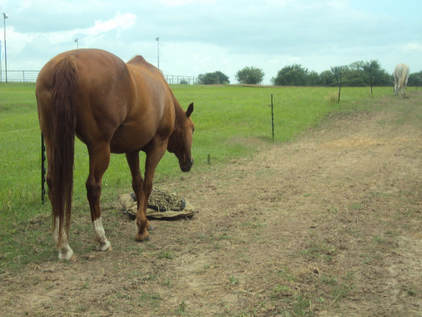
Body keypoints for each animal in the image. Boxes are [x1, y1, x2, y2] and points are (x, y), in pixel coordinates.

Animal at [36, 48, 195, 260]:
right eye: (192, 129)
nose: (189, 162)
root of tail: (68, 61)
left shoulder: (132, 150)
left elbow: (137, 185)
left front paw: (144, 223)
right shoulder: (157, 147)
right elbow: (148, 185)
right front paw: (141, 229)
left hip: (52, 140)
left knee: (53, 182)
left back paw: (62, 243)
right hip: (99, 147)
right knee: (93, 186)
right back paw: (101, 239)